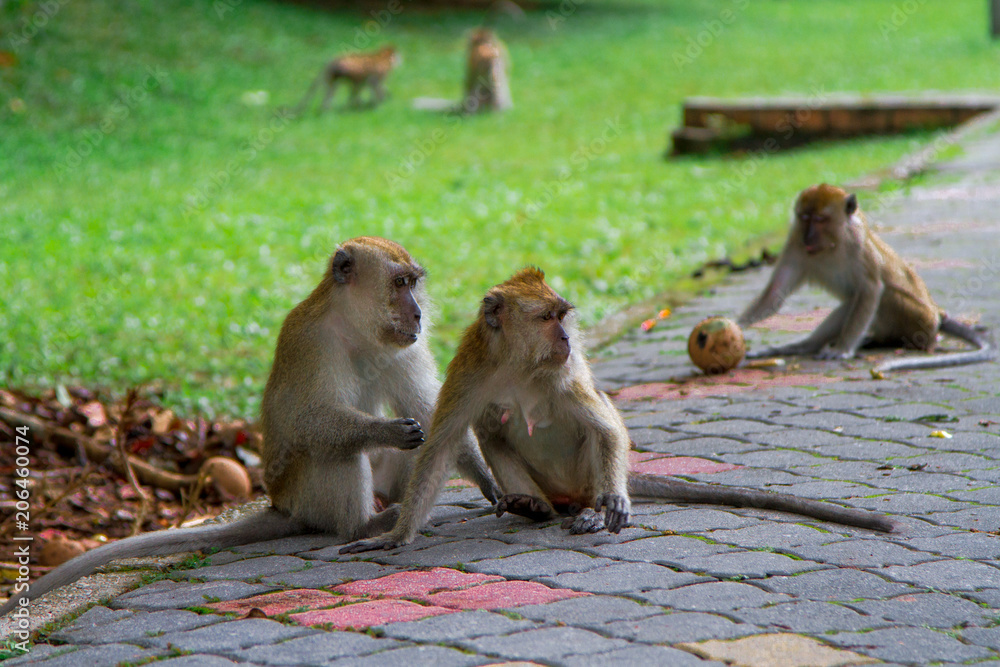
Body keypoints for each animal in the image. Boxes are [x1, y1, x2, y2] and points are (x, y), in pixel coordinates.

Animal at [0, 237, 500, 617]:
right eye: (399, 283)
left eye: (413, 284)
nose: (417, 314)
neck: (356, 329)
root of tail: (283, 505)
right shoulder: (311, 343)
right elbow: (309, 421)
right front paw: (387, 431)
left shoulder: (403, 346)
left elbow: (432, 415)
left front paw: (486, 480)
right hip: (304, 493)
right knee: (332, 450)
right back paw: (363, 525)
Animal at [340, 268, 894, 555]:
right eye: (547, 318)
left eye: (562, 317)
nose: (566, 339)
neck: (519, 365)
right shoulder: (472, 369)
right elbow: (443, 442)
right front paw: (397, 535)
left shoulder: (564, 374)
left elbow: (604, 427)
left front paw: (615, 503)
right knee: (492, 430)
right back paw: (533, 506)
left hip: (583, 479)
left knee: (590, 442)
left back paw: (587, 510)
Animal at [738, 184, 993, 373]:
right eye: (804, 217)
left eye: (820, 219)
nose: (808, 237)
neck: (832, 245)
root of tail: (937, 314)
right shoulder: (794, 243)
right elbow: (775, 294)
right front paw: (737, 326)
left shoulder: (858, 244)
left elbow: (871, 288)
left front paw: (842, 349)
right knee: (852, 302)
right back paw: (803, 347)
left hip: (921, 321)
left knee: (883, 295)